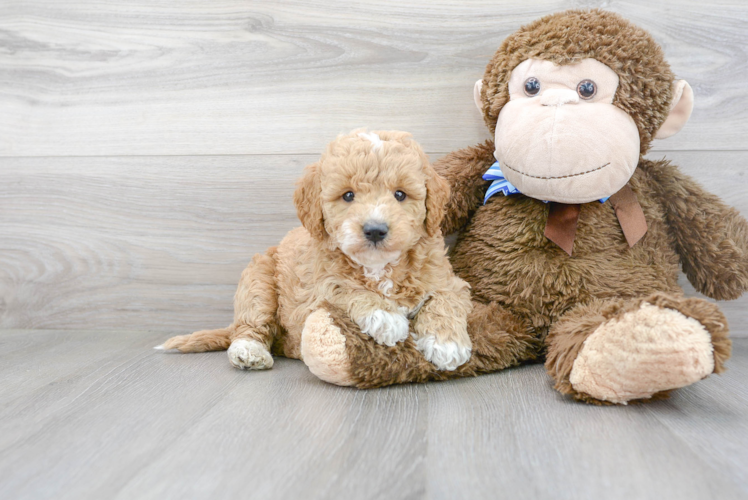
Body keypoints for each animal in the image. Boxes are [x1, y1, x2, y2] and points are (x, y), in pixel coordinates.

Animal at [156, 131, 474, 374]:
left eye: (400, 194)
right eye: (348, 195)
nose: (375, 230)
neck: (378, 266)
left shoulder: (446, 279)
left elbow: (444, 300)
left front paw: (448, 345)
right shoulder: (314, 287)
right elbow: (342, 287)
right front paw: (385, 316)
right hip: (259, 279)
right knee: (251, 323)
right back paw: (249, 351)